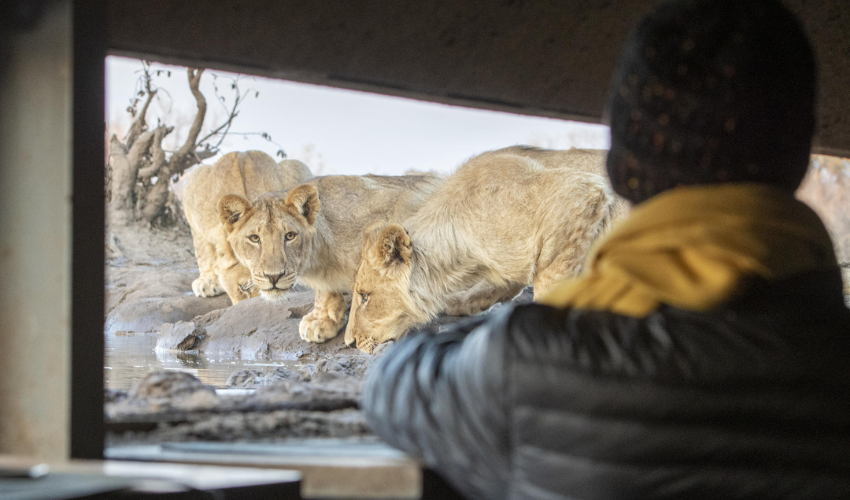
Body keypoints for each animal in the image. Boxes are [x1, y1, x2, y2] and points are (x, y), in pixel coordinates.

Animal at [215, 173, 440, 344]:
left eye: (290, 236)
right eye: (254, 238)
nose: (273, 277)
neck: (321, 254)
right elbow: (324, 291)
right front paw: (322, 320)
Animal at [342, 146, 628, 354]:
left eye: (365, 296)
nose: (349, 343)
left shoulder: (578, 191)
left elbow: (549, 288)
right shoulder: (507, 272)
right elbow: (482, 295)